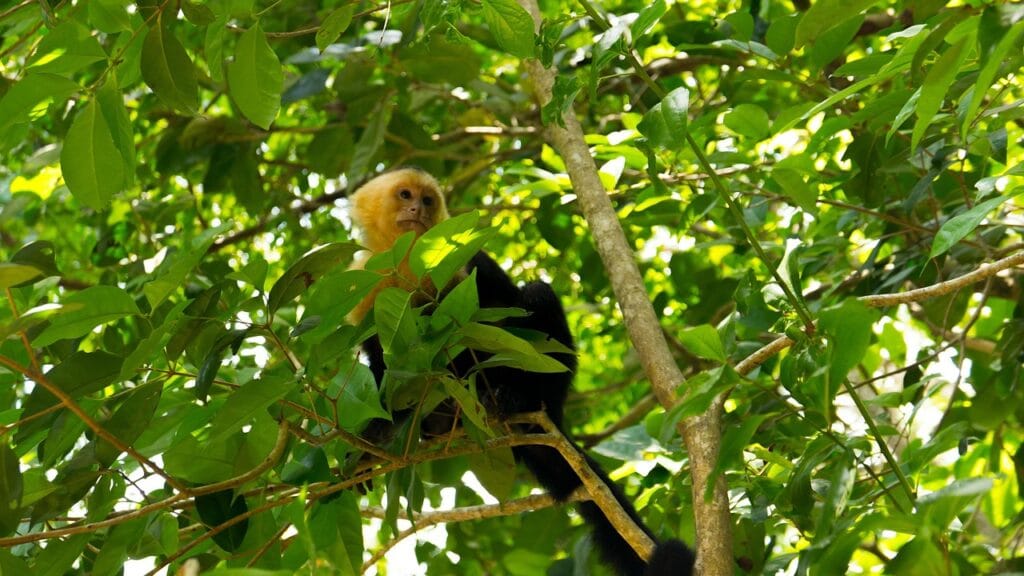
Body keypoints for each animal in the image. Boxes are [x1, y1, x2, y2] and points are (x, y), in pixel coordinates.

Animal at [347, 167, 696, 576]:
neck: (404, 257)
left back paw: (514, 399)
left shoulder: (454, 255)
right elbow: (382, 361)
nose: (418, 208)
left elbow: (481, 316)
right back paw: (442, 418)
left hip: (552, 387)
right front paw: (373, 435)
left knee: (535, 296)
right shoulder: (365, 279)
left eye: (428, 200)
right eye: (405, 195)